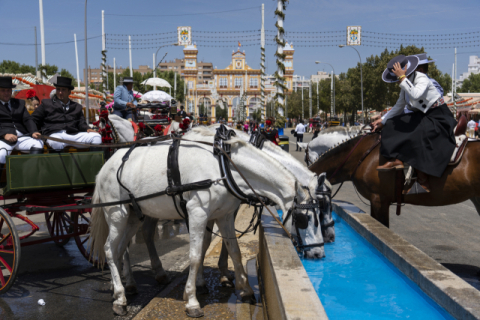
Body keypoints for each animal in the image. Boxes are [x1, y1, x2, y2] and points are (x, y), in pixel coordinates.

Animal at [88, 128, 324, 318]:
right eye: (303, 219)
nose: (318, 253)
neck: (225, 166)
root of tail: (105, 166)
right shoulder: (197, 213)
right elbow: (194, 255)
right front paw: (192, 299)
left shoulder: (225, 215)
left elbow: (234, 251)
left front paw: (245, 289)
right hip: (117, 214)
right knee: (110, 249)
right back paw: (120, 298)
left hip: (134, 215)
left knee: (121, 249)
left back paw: (124, 287)